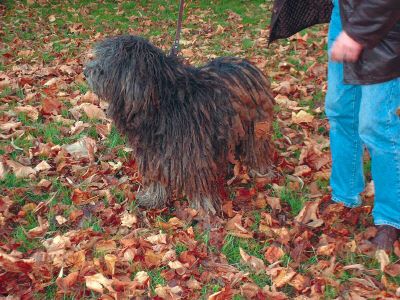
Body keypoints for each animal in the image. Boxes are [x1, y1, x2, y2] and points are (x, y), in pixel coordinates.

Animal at [84, 35, 276, 213]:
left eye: (105, 64)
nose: (85, 71)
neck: (161, 100)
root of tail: (249, 64)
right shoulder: (153, 152)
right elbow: (156, 176)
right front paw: (153, 198)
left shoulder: (193, 152)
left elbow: (198, 180)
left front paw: (203, 208)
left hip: (255, 127)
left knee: (257, 149)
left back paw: (261, 172)